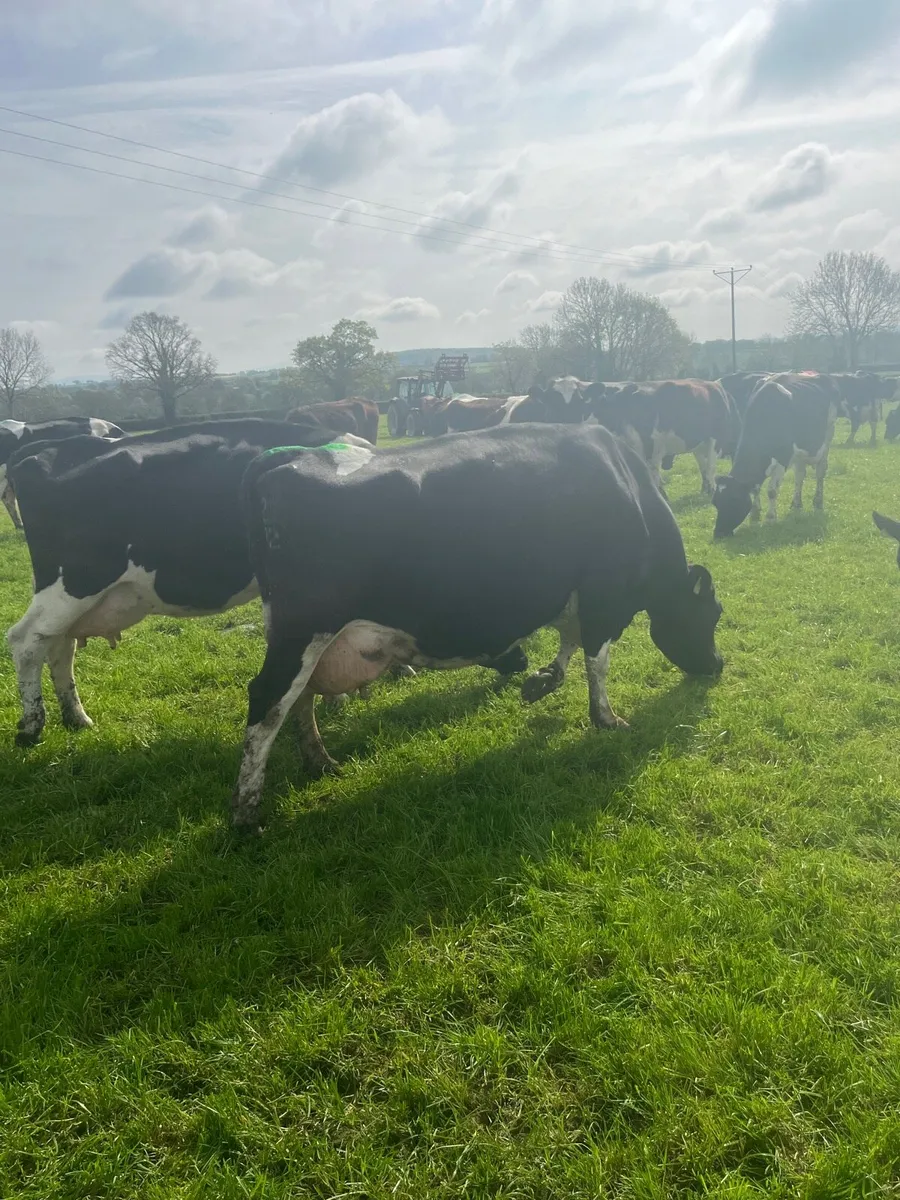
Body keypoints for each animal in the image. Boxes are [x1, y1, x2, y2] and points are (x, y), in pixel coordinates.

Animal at [228, 422, 725, 829]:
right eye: (714, 614)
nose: (718, 665)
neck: (629, 488)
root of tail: (283, 458)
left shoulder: (572, 596)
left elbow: (568, 643)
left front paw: (543, 680)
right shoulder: (605, 597)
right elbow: (596, 662)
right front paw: (607, 719)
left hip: (302, 637)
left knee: (300, 698)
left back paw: (319, 761)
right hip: (304, 629)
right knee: (268, 702)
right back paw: (246, 812)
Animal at [712, 373, 840, 538]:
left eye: (734, 501)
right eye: (715, 502)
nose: (718, 533)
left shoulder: (782, 458)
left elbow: (772, 491)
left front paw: (770, 518)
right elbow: (755, 488)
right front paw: (755, 515)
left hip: (828, 436)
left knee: (820, 472)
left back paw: (818, 503)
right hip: (799, 452)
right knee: (800, 475)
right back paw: (796, 504)